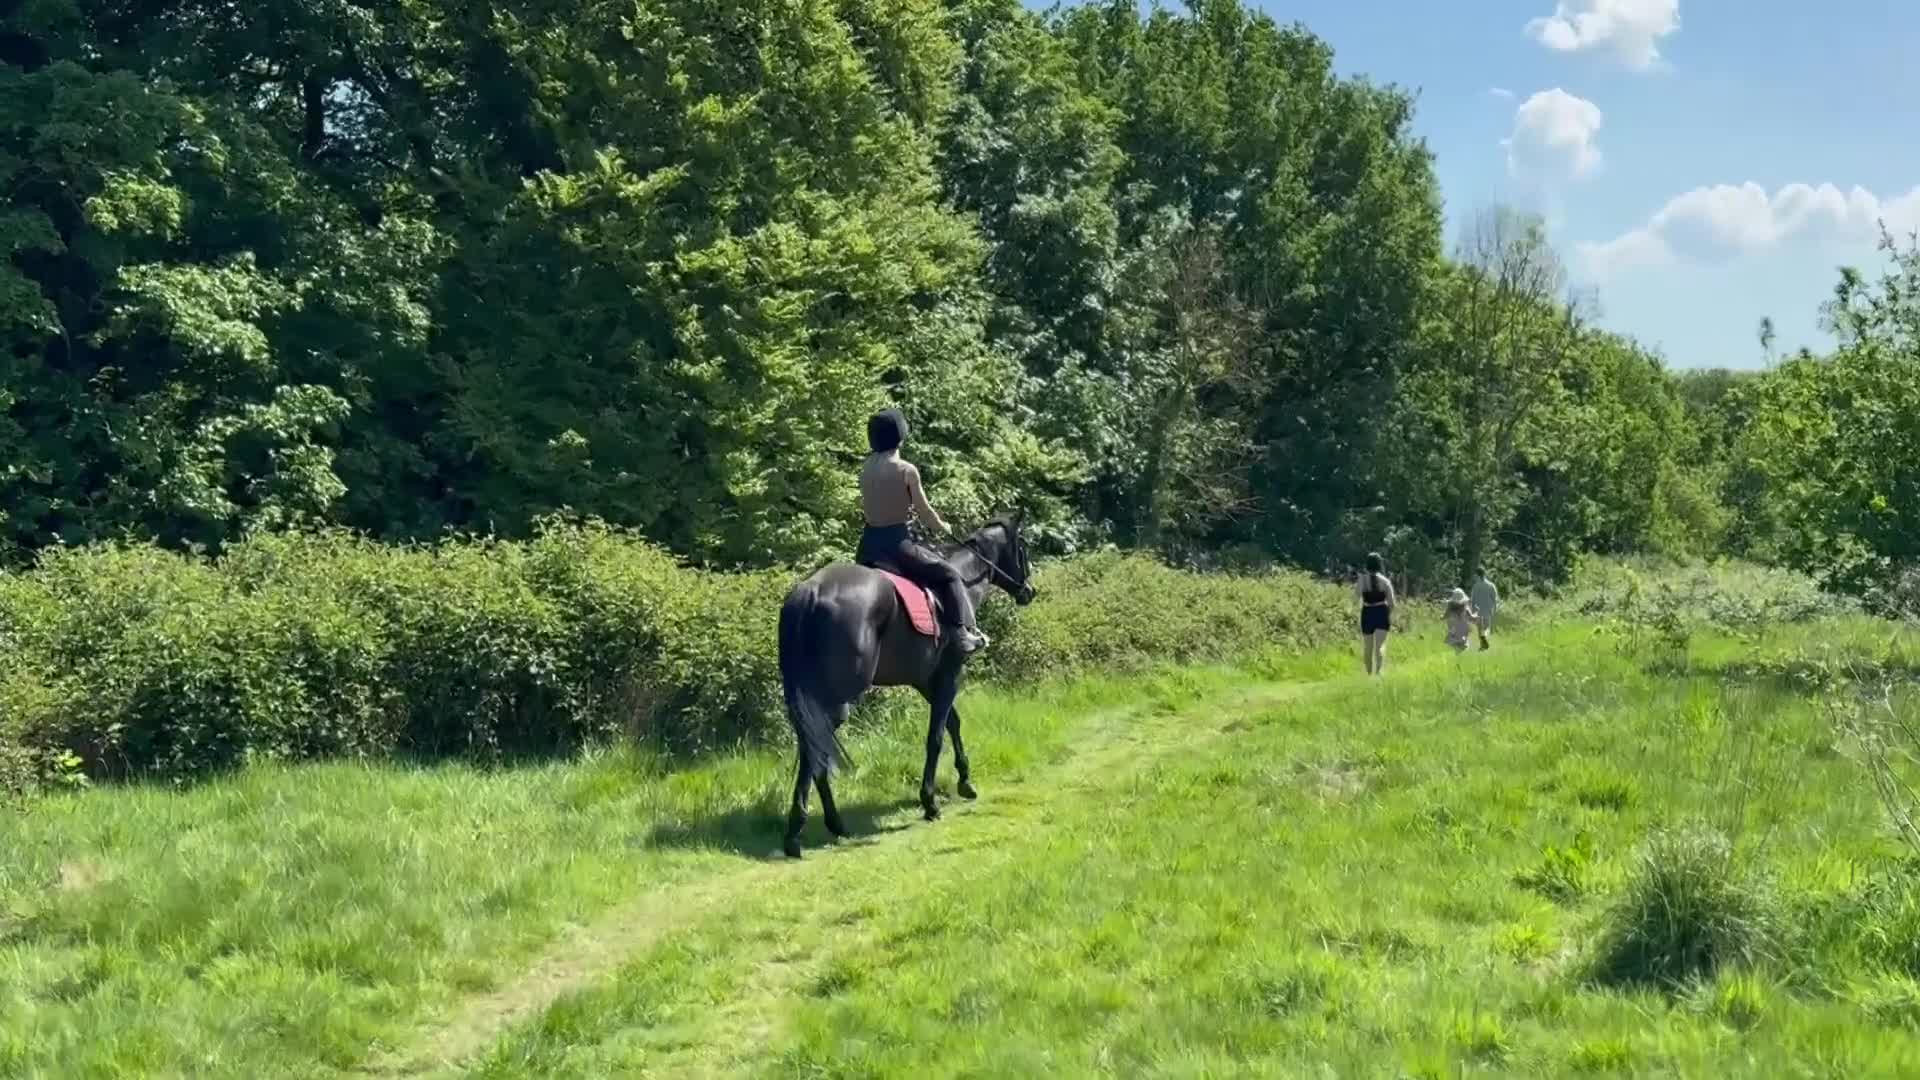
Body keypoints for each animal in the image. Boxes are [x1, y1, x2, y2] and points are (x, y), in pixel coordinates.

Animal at [775, 511, 1037, 858]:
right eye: (1022, 546)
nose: (1029, 591)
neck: (964, 577)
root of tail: (810, 592)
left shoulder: (926, 680)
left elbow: (952, 723)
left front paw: (965, 782)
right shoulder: (951, 673)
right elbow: (936, 735)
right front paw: (930, 802)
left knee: (813, 746)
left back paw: (816, 828)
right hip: (839, 696)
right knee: (816, 746)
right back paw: (811, 828)